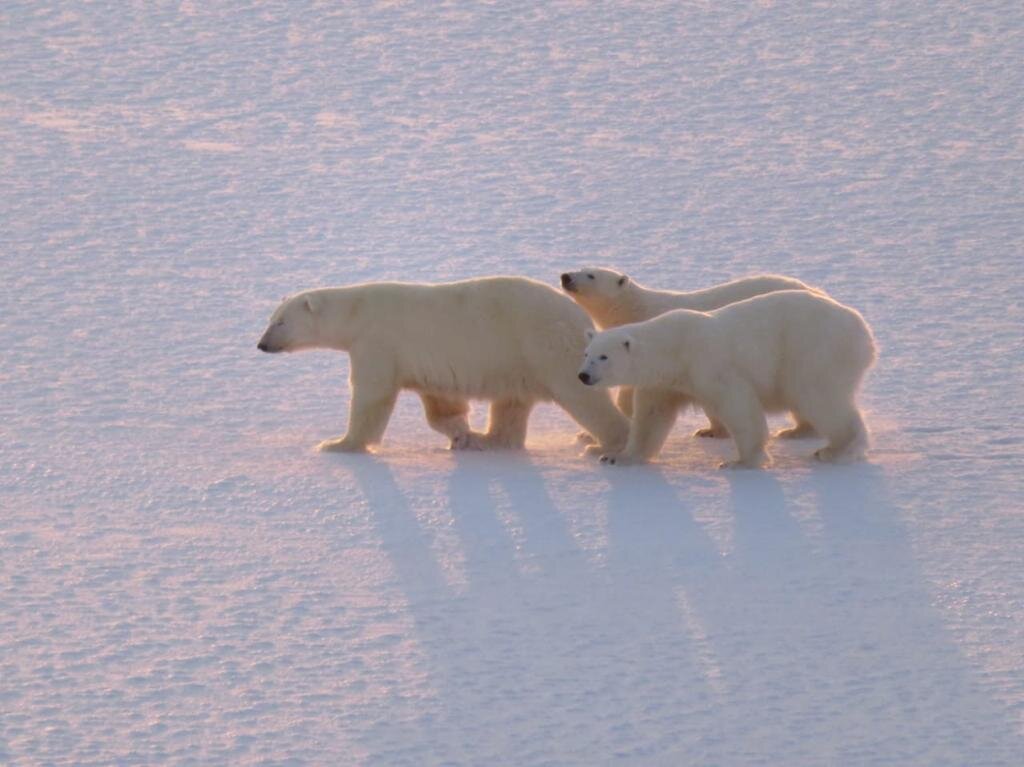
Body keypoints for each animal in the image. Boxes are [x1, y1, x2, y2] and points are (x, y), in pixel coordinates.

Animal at [256, 278, 630, 452]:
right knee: (511, 403)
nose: (261, 344)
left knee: (582, 397)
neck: (357, 312)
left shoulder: (377, 342)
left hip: (545, 346)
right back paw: (492, 440)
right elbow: (441, 403)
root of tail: (583, 319)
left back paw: (608, 442)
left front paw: (338, 444)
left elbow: (371, 396)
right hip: (517, 361)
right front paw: (464, 436)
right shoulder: (426, 361)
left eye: (280, 322)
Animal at [581, 288, 876, 462]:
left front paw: (742, 461)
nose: (583, 376)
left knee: (817, 396)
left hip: (815, 351)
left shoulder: (708, 363)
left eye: (603, 357)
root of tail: (865, 334)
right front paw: (618, 457)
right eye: (586, 353)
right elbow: (651, 418)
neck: (674, 347)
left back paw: (837, 449)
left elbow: (738, 405)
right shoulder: (664, 383)